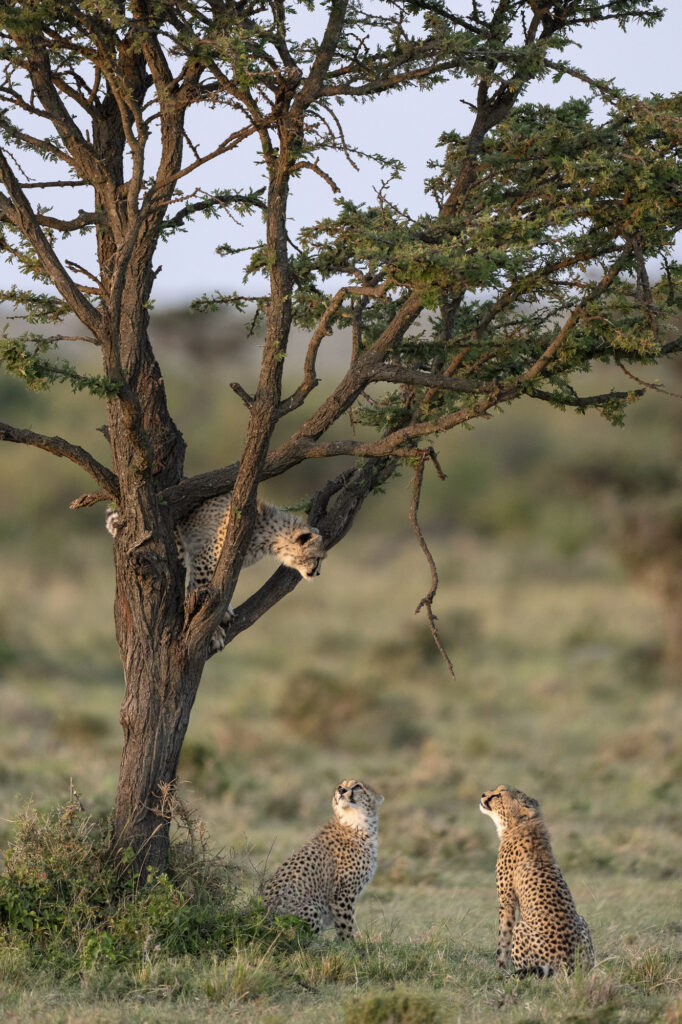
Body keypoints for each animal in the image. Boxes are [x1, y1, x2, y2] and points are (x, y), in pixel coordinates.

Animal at [105, 493, 325, 650]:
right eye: (318, 558)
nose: (317, 573)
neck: (272, 536)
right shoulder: (205, 559)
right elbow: (206, 590)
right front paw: (213, 632)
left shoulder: (228, 564)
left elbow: (220, 588)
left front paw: (224, 613)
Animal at [263, 779, 384, 940]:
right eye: (340, 785)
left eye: (357, 786)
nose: (341, 791)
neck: (356, 824)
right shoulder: (341, 895)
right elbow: (346, 927)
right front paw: (350, 945)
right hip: (311, 907)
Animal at [480, 785, 595, 977]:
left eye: (499, 795)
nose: (483, 795)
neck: (519, 825)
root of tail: (570, 966)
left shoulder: (507, 900)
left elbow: (503, 937)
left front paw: (500, 967)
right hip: (582, 922)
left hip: (521, 928)